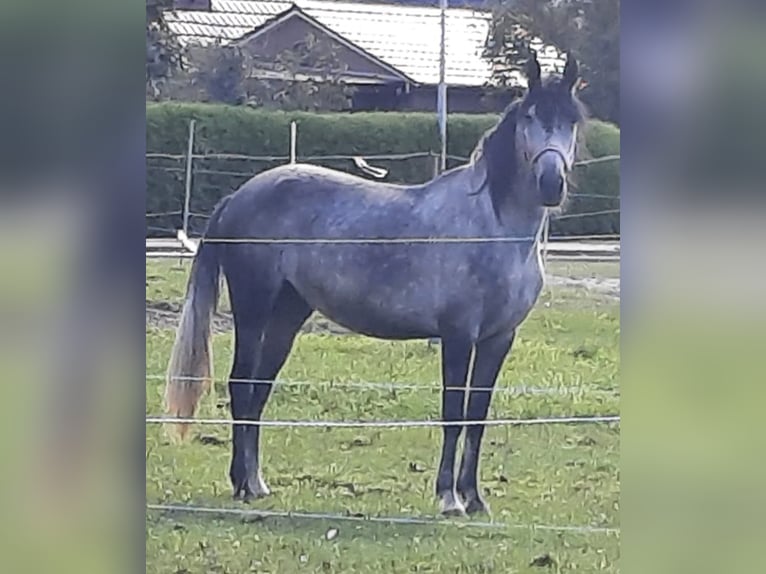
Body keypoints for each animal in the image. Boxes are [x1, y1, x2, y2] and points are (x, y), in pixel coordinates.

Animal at [166, 53, 588, 516]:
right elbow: (453, 412)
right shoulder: (458, 335)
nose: (552, 184)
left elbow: (477, 415)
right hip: (253, 307)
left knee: (259, 388)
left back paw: (256, 483)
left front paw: (475, 499)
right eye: (530, 116)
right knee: (241, 384)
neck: (492, 229)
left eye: (572, 120)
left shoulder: (499, 338)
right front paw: (449, 498)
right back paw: (243, 485)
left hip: (287, 314)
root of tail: (237, 197)